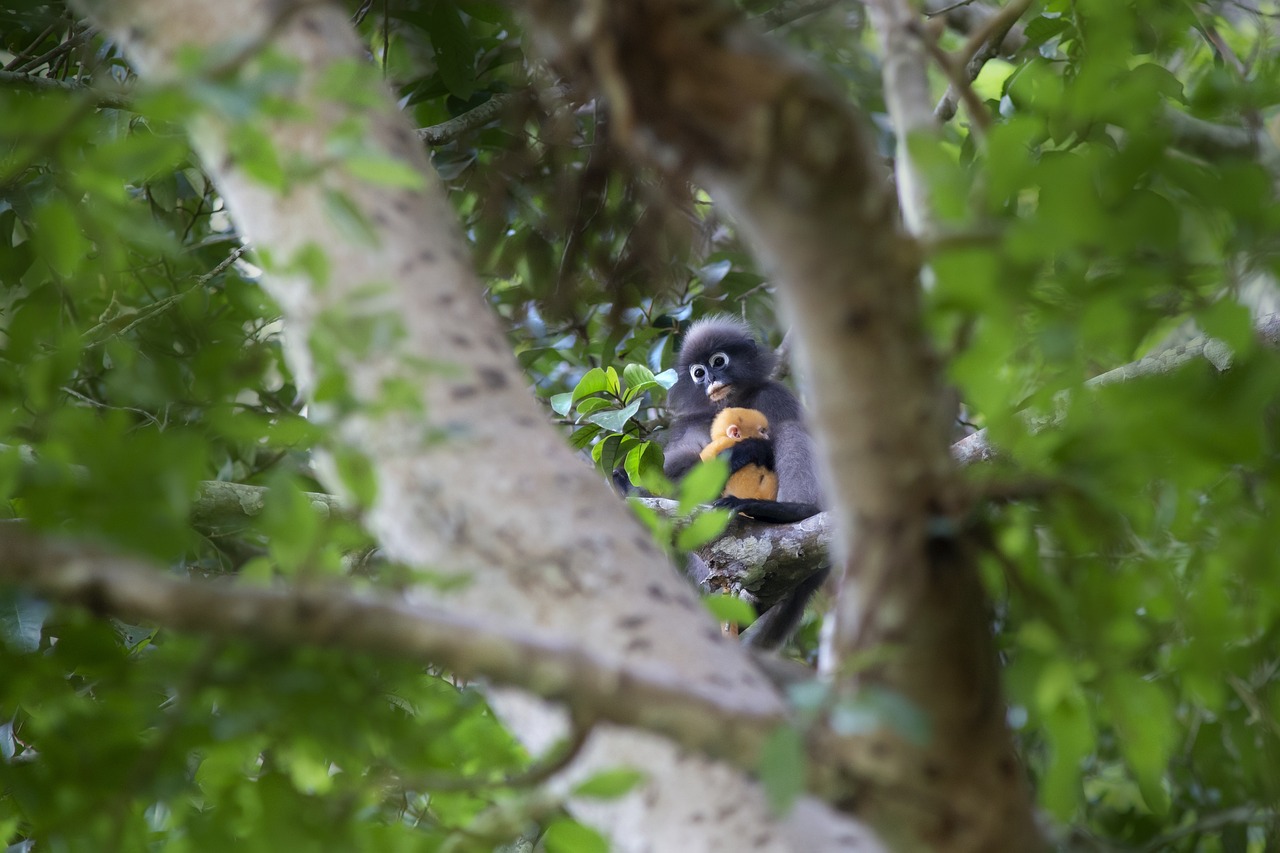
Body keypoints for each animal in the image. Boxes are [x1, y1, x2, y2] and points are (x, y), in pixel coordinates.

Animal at [660, 313, 829, 645]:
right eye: (698, 373)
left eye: (719, 361)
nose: (711, 379)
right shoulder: (690, 422)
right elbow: (674, 466)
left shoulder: (774, 395)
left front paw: (749, 449)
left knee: (790, 429)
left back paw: (789, 511)